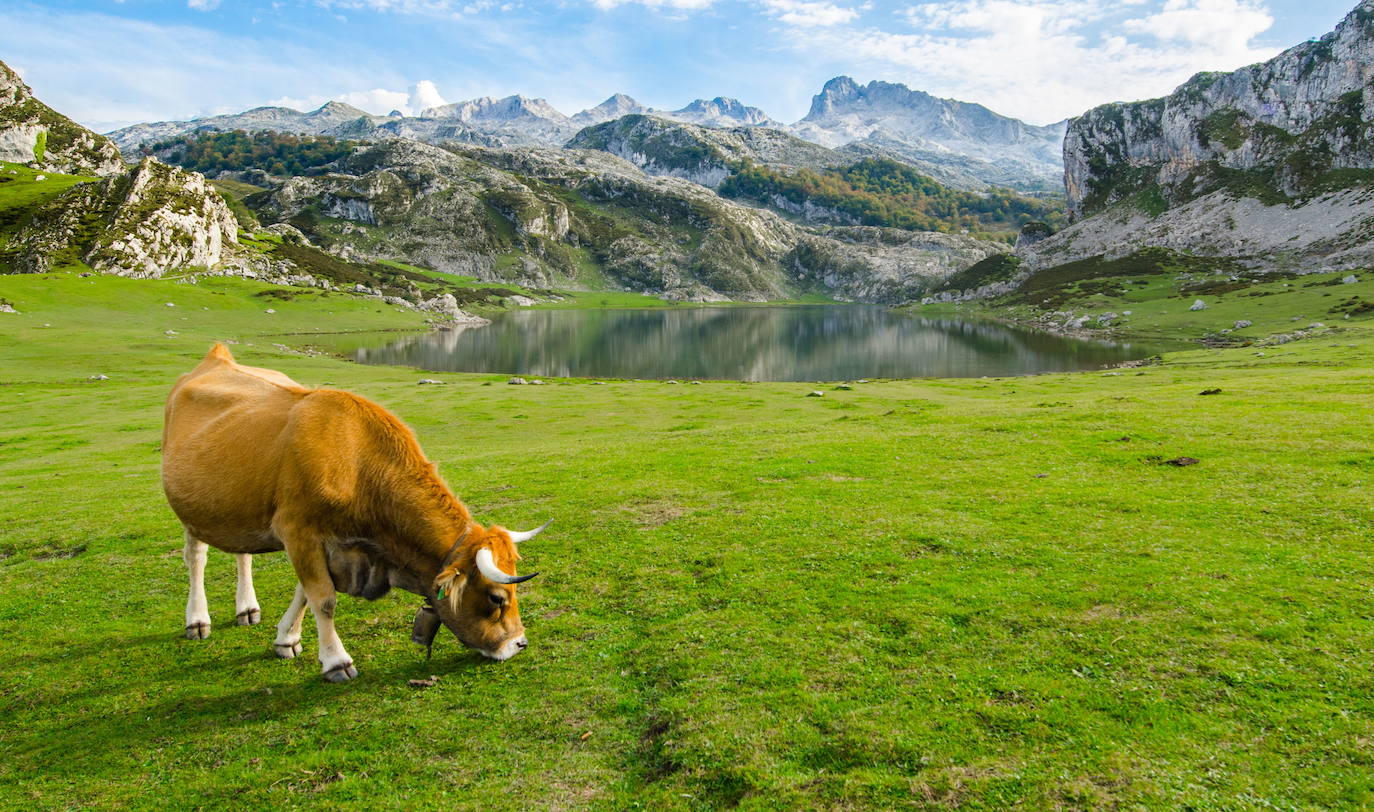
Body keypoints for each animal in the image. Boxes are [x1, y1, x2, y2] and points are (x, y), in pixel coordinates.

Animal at [162, 346, 546, 684]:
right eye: (496, 598)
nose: (519, 644)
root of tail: (217, 356)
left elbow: (306, 593)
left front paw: (287, 638)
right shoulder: (298, 532)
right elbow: (323, 598)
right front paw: (335, 661)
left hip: (238, 508)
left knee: (243, 554)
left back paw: (246, 608)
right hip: (190, 508)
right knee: (196, 557)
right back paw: (197, 620)